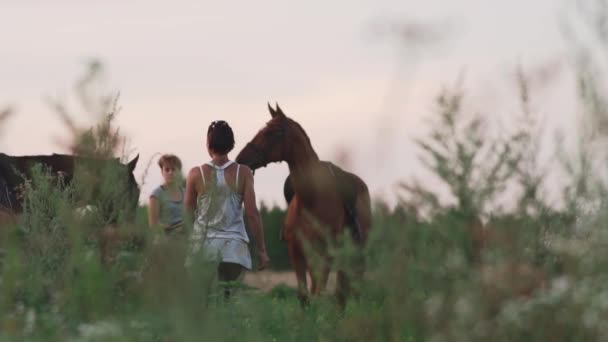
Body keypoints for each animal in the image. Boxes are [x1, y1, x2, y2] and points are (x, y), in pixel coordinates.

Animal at [236, 103, 370, 306]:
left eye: (272, 132)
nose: (241, 159)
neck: (311, 200)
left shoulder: (324, 254)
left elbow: (319, 293)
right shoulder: (297, 253)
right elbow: (305, 296)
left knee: (346, 291)